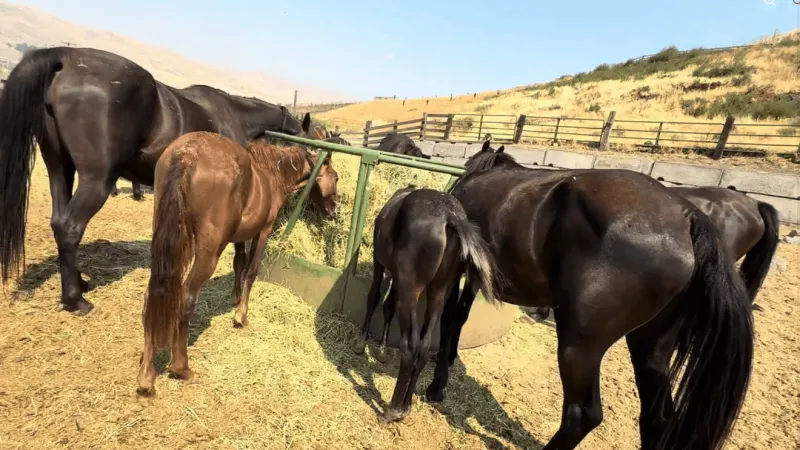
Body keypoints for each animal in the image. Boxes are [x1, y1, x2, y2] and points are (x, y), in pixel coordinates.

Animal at [0, 46, 313, 315]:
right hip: (95, 180)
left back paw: (79, 283)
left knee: (58, 222)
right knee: (69, 227)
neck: (234, 116)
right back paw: (75, 300)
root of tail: (66, 57)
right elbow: (240, 254)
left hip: (60, 168)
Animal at [136, 132, 340, 397]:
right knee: (186, 298)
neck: (271, 173)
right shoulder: (263, 231)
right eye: (336, 177)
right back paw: (182, 368)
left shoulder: (240, 236)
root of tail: (187, 154)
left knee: (154, 294)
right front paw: (241, 316)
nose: (335, 211)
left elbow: (239, 264)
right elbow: (251, 271)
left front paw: (235, 299)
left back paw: (146, 376)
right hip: (208, 254)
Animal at [351, 186, 499, 421]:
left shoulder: (380, 262)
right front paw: (381, 349)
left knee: (411, 347)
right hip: (438, 293)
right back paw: (406, 406)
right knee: (424, 345)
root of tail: (449, 216)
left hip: (410, 291)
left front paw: (361, 341)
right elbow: (387, 305)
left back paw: (393, 409)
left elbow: (374, 297)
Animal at [423, 141, 754, 450]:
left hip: (580, 345)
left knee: (581, 415)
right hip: (651, 345)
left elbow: (451, 319)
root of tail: (689, 216)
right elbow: (460, 317)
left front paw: (437, 386)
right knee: (657, 417)